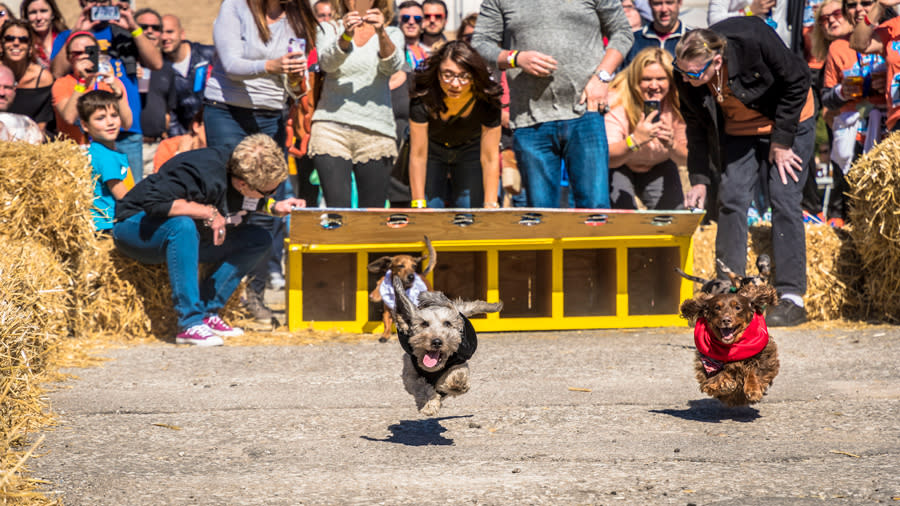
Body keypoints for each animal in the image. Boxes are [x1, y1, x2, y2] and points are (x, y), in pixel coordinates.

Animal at [388, 274, 500, 418]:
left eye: (447, 323)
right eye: (424, 323)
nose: (436, 341)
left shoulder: (459, 362)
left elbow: (455, 375)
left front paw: (456, 382)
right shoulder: (409, 375)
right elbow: (420, 386)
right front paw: (428, 404)